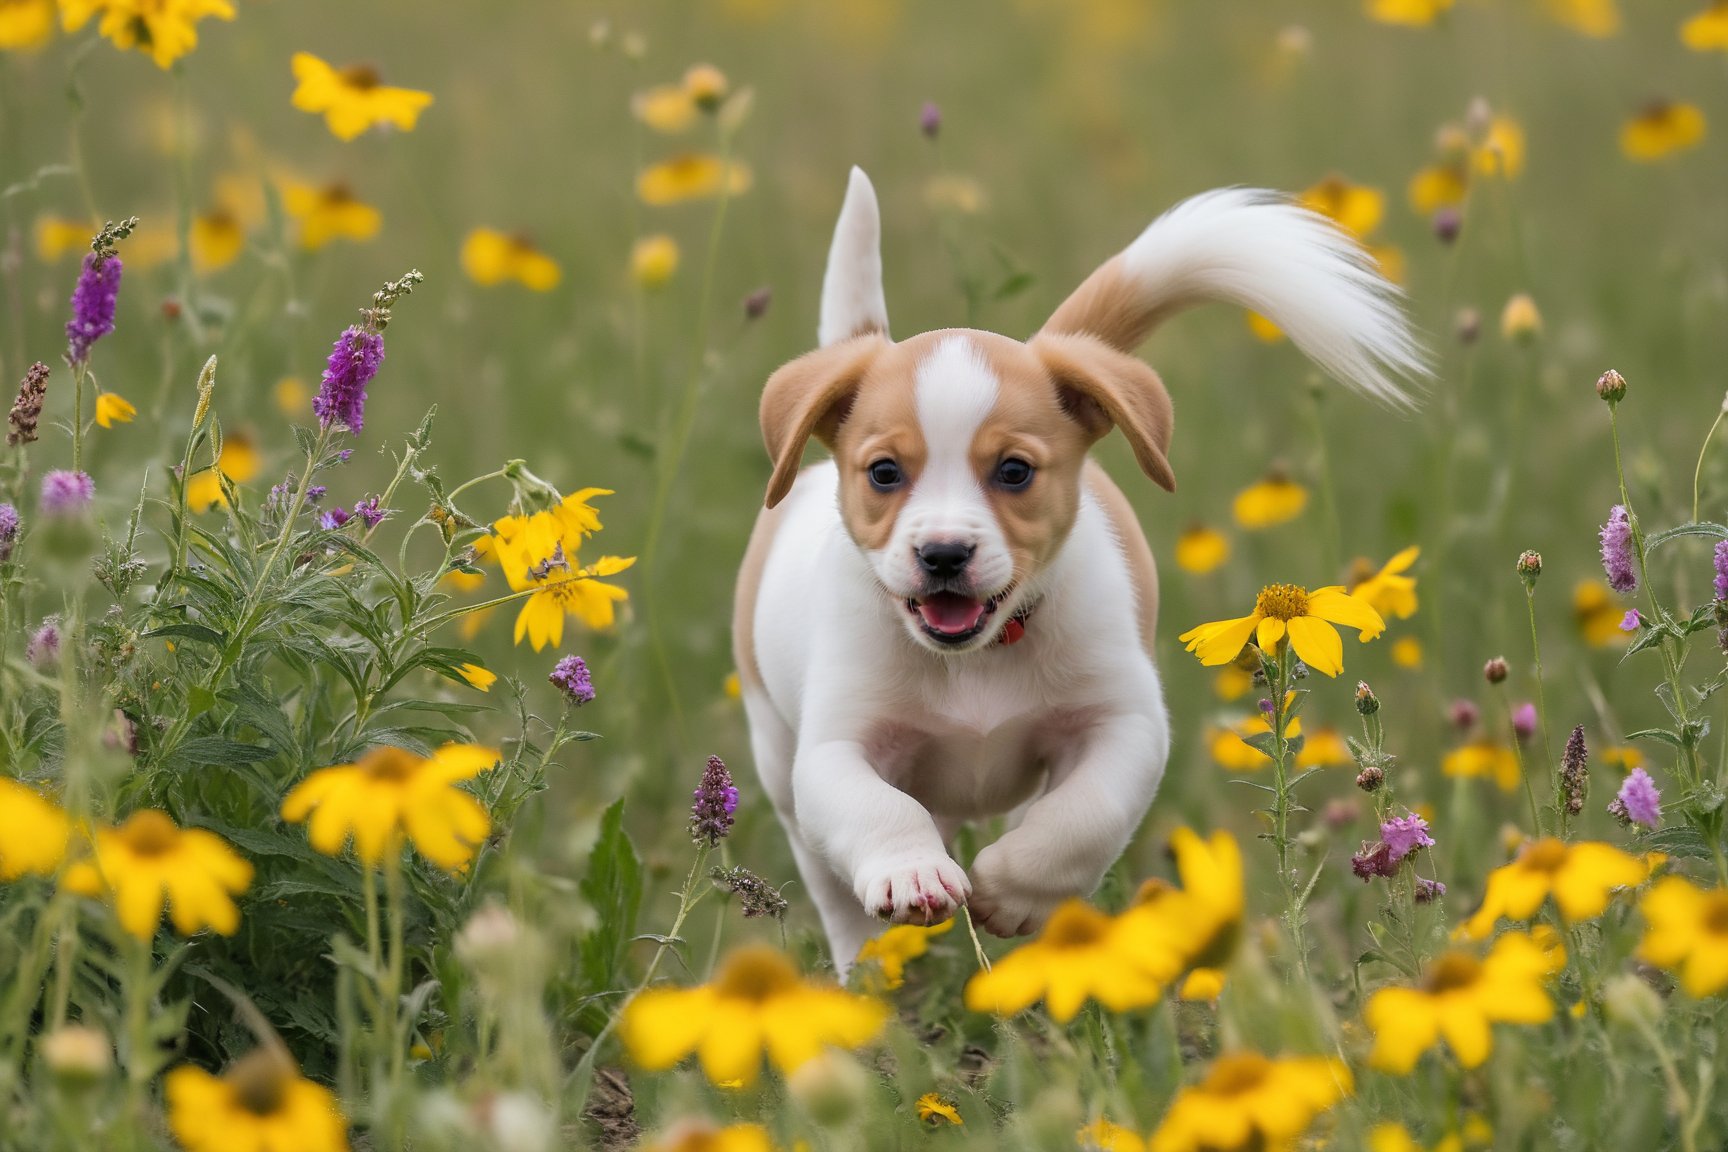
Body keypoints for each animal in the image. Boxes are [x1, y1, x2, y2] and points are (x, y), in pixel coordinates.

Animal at [729, 166, 1416, 967]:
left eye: (1015, 471)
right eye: (884, 473)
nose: (943, 553)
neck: (979, 658)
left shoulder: (1125, 726)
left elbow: (1079, 819)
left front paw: (1011, 889)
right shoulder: (835, 745)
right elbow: (876, 806)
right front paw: (912, 871)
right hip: (777, 758)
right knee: (838, 895)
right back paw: (868, 965)